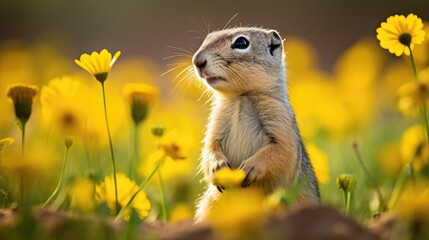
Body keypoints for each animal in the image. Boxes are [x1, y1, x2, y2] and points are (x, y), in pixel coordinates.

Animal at [192, 26, 320, 221]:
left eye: (241, 42)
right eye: (207, 38)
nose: (197, 61)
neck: (241, 96)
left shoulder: (281, 120)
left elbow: (282, 151)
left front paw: (249, 168)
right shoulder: (215, 123)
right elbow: (209, 149)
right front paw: (217, 166)